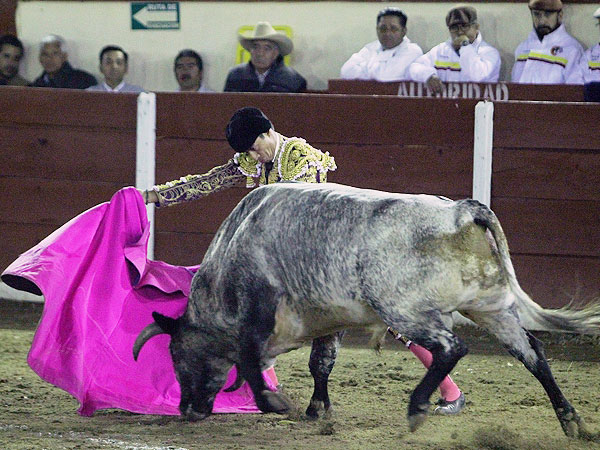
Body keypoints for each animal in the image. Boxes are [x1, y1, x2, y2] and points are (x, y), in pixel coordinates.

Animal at [134, 182, 599, 439]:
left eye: (177, 356)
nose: (187, 410)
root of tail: (458, 211)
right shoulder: (328, 319)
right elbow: (321, 363)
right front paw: (317, 411)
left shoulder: (259, 313)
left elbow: (250, 363)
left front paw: (277, 403)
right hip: (492, 308)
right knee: (533, 354)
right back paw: (571, 421)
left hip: (404, 309)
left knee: (452, 348)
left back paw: (417, 408)